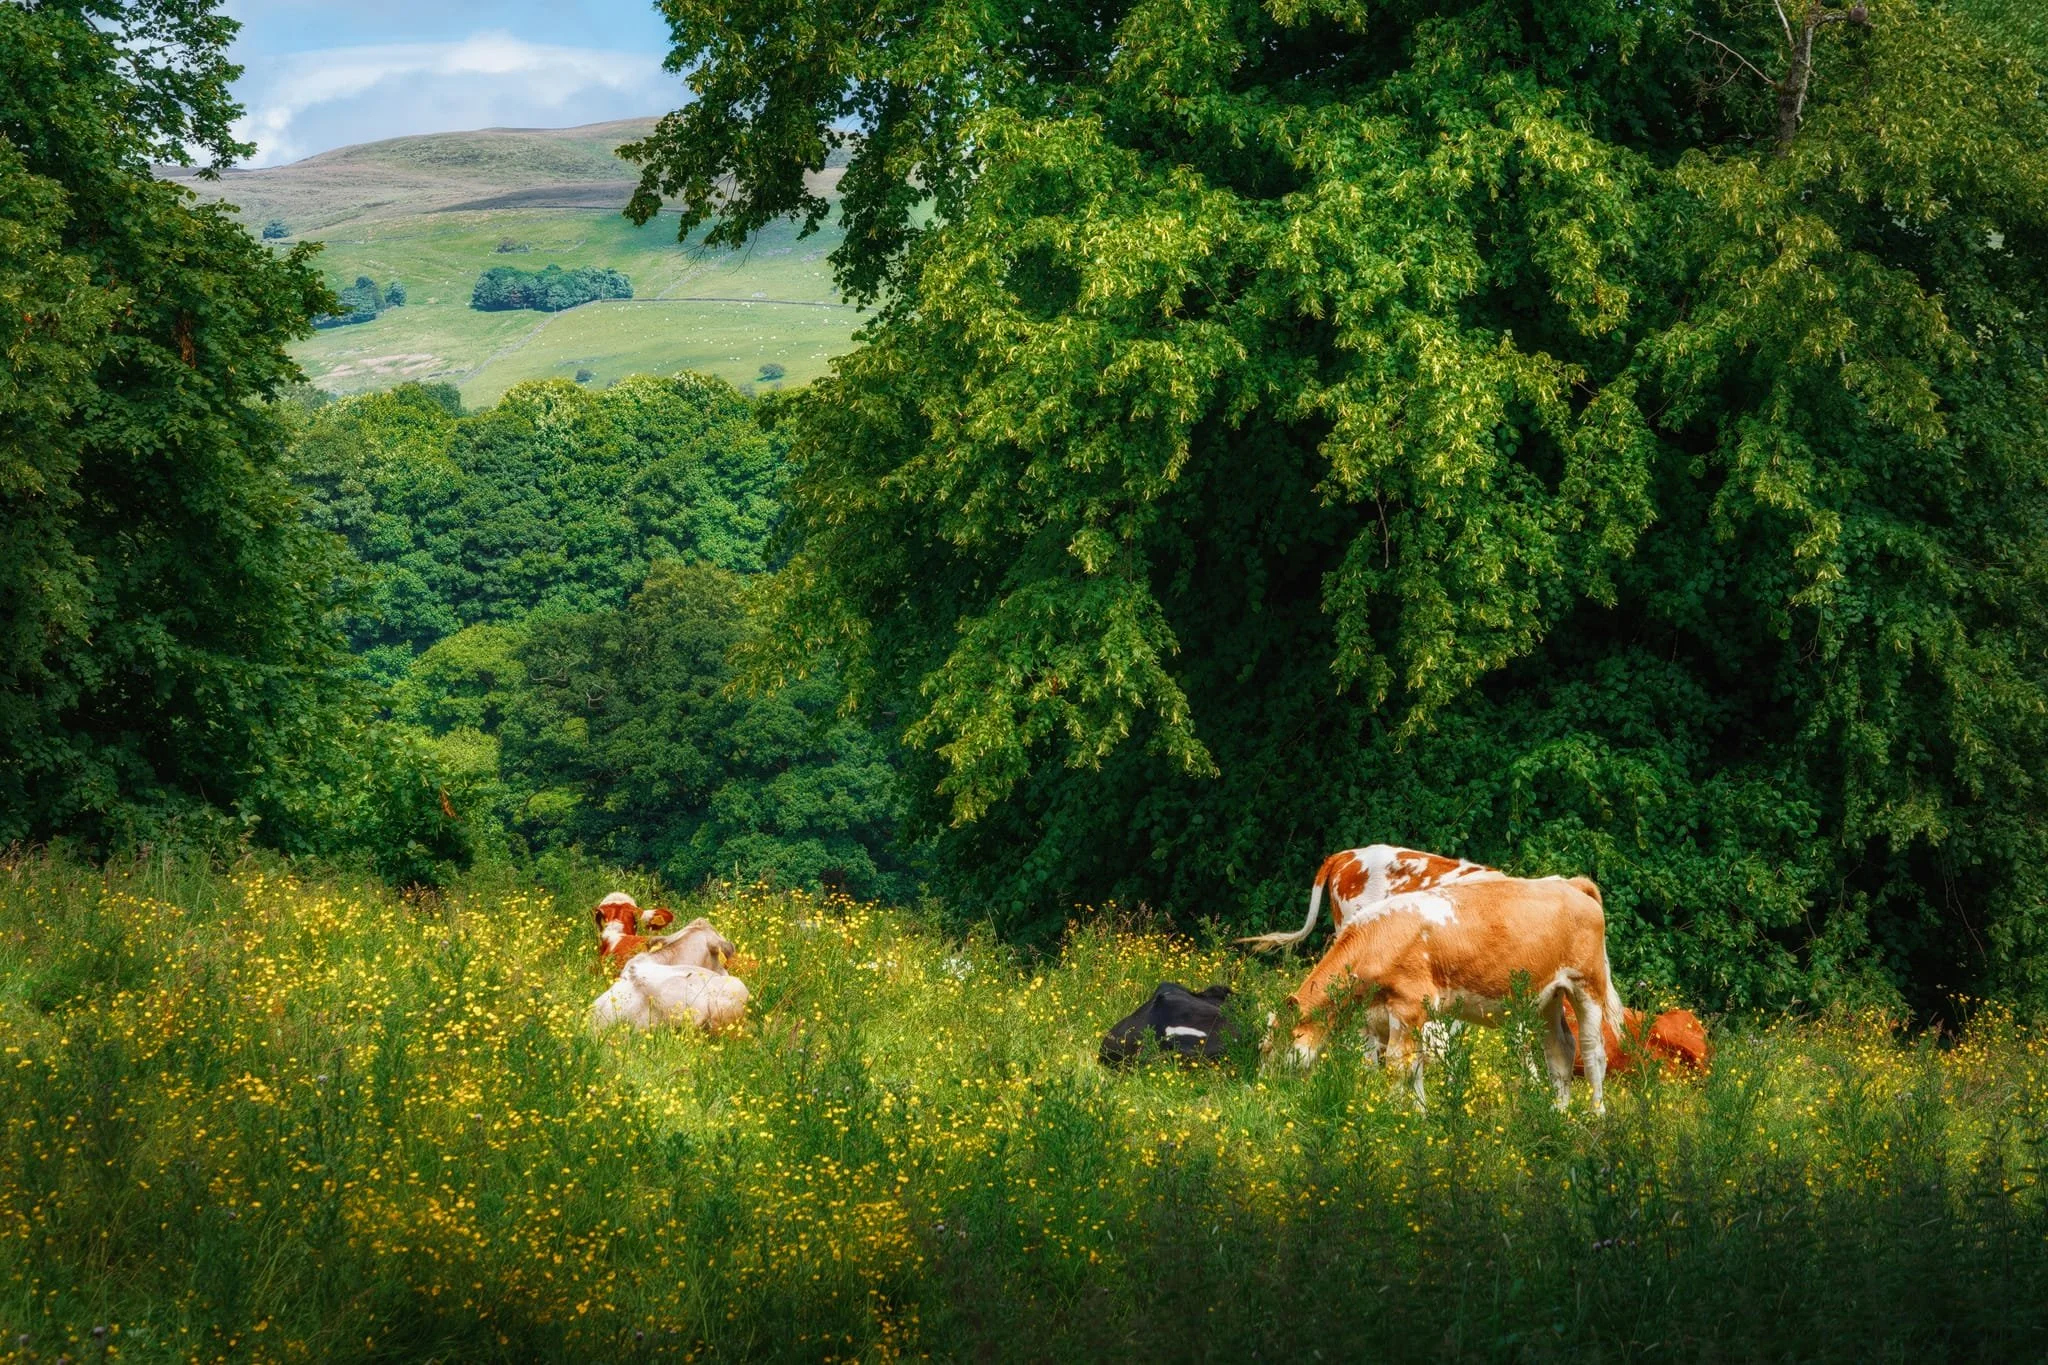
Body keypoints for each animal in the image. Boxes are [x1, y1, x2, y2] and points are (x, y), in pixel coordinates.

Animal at [1269, 875, 1620, 1112]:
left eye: (1273, 1041)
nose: (1267, 1085)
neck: (1379, 938)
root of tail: (1569, 883)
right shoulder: (1394, 1015)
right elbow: (1415, 1065)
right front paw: (1420, 1115)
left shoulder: (1408, 1006)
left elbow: (1398, 1064)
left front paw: (1392, 1112)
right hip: (1548, 996)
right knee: (1560, 1050)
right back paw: (1558, 1113)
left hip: (1587, 985)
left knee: (1592, 1051)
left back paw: (1596, 1115)